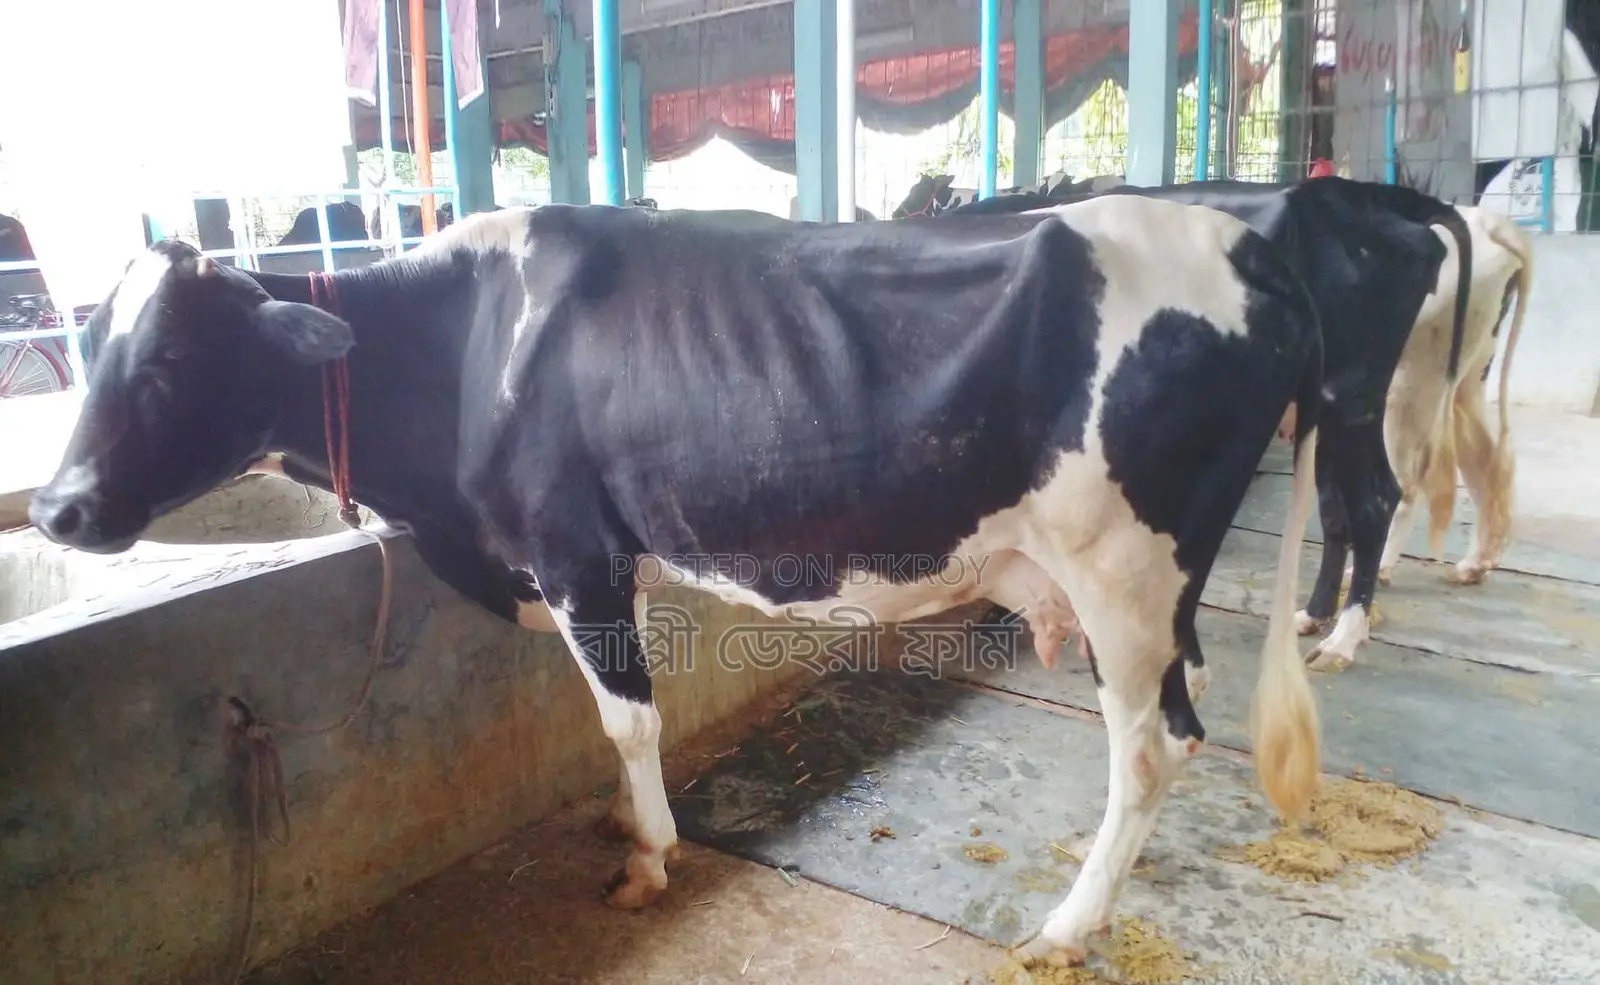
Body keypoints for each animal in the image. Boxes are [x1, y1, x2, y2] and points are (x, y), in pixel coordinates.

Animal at [27, 197, 1324, 968]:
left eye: (171, 359)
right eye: (88, 346)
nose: (54, 508)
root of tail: (1238, 239)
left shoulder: (571, 550)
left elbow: (626, 716)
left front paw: (648, 856)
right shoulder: (619, 559)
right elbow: (615, 717)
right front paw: (622, 816)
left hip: (1121, 569)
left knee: (1149, 746)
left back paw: (1063, 924)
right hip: (1153, 590)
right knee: (1183, 718)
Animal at [916, 175, 1474, 672]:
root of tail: (1373, 197)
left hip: (1352, 392)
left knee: (1376, 498)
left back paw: (1344, 637)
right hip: (1327, 411)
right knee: (1335, 508)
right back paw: (1314, 614)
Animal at [1379, 206, 1533, 587]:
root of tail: (1488, 222)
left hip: (1409, 382)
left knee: (1407, 485)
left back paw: (1377, 570)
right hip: (1470, 376)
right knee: (1488, 461)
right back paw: (1474, 564)